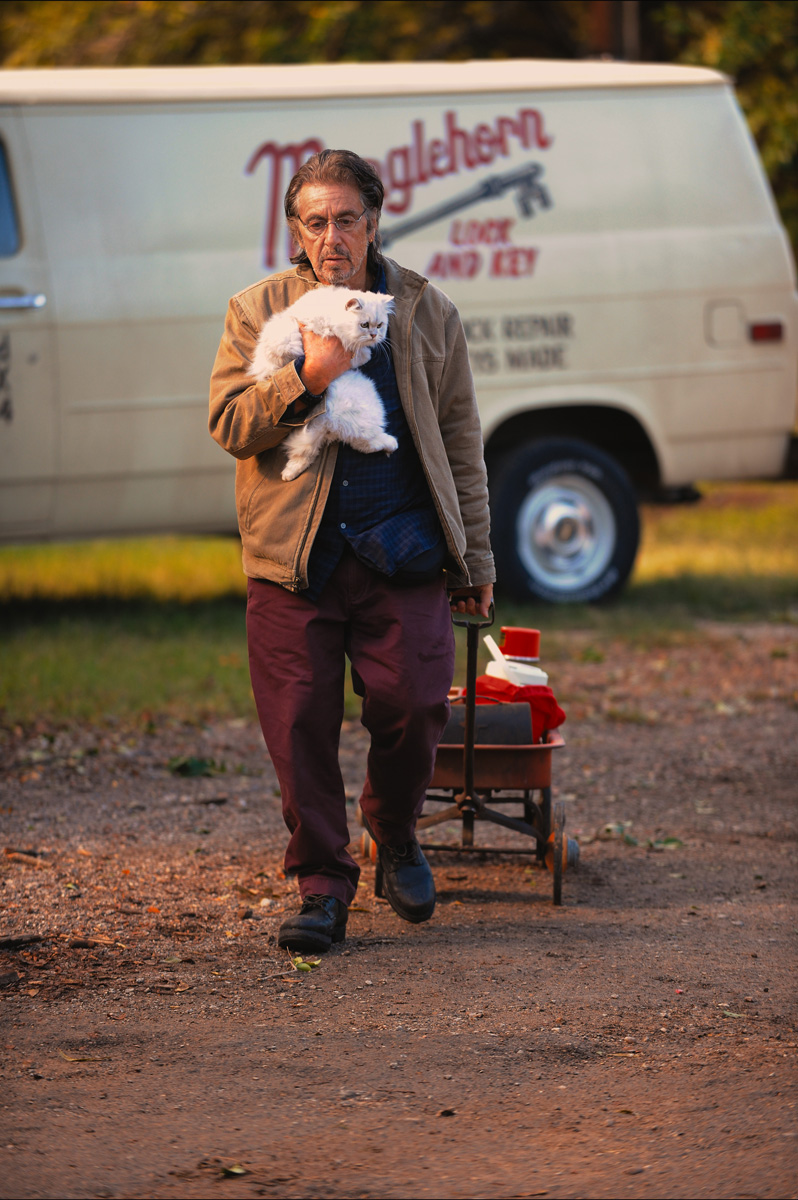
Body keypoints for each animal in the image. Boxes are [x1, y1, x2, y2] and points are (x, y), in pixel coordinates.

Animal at [247, 288, 396, 480]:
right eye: (364, 325)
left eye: (379, 325)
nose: (374, 335)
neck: (331, 314)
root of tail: (328, 421)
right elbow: (358, 353)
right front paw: (365, 353)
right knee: (368, 441)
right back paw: (392, 444)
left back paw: (288, 474)